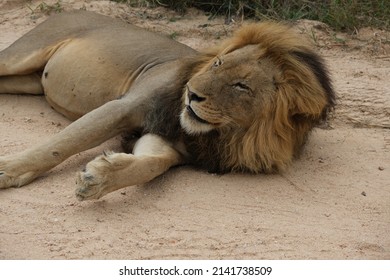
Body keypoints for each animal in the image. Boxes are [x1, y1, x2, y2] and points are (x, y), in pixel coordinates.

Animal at [0, 10, 336, 199]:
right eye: (217, 63)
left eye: (241, 85)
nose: (192, 95)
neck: (221, 136)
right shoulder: (124, 106)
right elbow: (60, 145)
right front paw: (7, 170)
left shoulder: (166, 142)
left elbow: (152, 164)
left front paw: (99, 177)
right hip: (21, 55)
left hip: (29, 82)